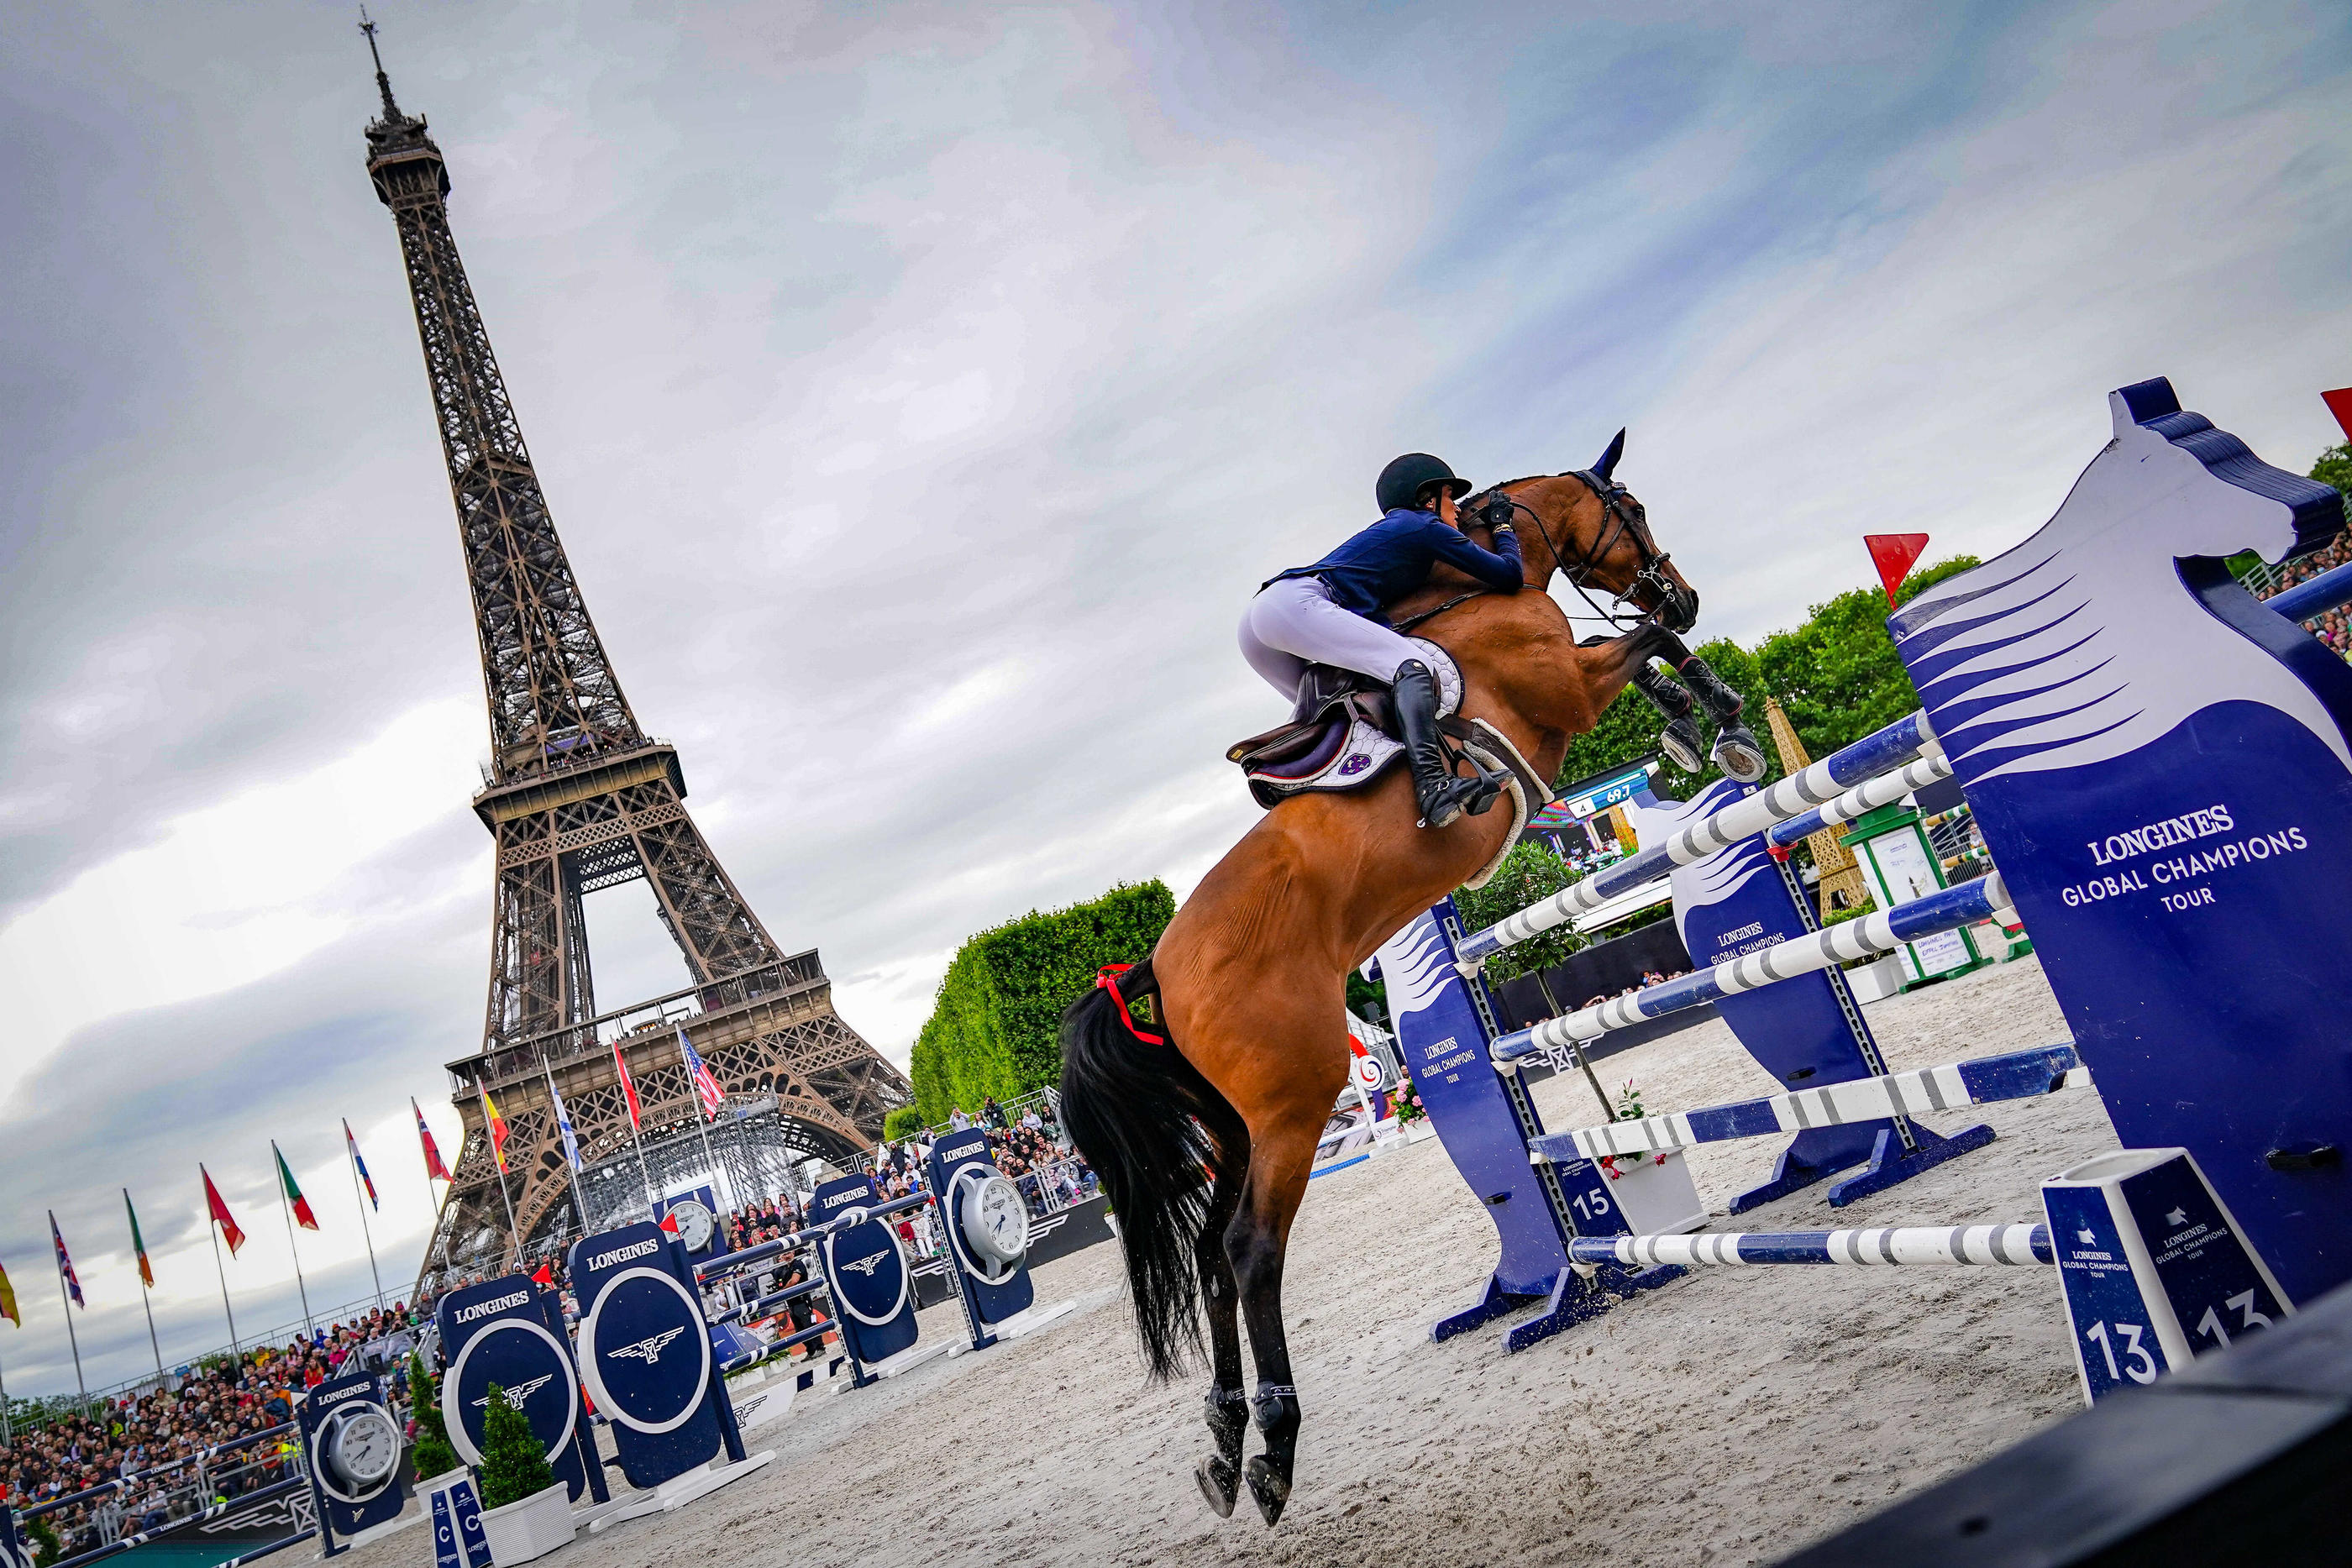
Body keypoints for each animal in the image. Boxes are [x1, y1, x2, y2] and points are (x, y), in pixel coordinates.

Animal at [1058, 434, 1759, 1523]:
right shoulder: (1567, 685)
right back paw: (1274, 1450)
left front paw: (1695, 721)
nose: (1681, 589)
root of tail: (1151, 971)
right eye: (1632, 507)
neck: (1472, 590)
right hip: (1296, 1106)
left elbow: (1649, 655)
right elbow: (1643, 647)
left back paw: (1221, 1440)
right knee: (1250, 1250)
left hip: (1232, 1124)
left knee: (1211, 1255)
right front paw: (1715, 719)